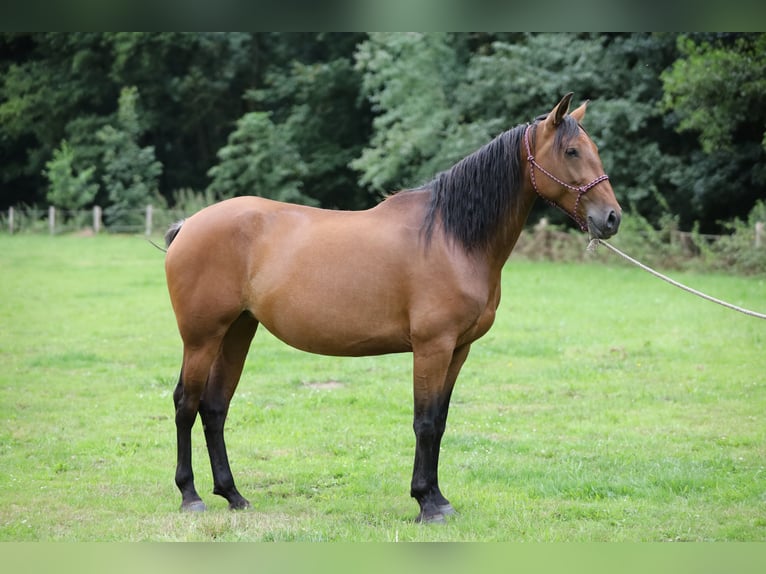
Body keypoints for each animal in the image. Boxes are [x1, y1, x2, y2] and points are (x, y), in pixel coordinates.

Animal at [163, 93, 622, 523]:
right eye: (571, 151)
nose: (612, 218)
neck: (450, 237)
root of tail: (189, 225)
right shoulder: (432, 347)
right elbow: (424, 422)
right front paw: (427, 503)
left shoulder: (458, 349)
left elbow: (439, 422)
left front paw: (438, 498)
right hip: (201, 338)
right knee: (186, 403)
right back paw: (190, 496)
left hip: (237, 331)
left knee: (215, 406)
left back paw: (233, 495)